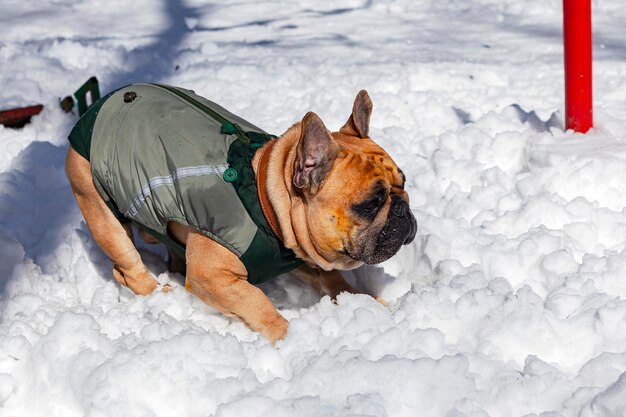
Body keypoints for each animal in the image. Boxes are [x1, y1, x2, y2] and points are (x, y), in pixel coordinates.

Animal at [66, 87, 414, 342]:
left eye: (404, 182)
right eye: (370, 204)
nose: (403, 210)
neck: (265, 198)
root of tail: (100, 103)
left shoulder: (304, 255)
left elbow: (336, 282)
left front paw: (370, 303)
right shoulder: (213, 275)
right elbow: (256, 302)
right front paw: (287, 337)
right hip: (100, 209)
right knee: (128, 268)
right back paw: (161, 294)